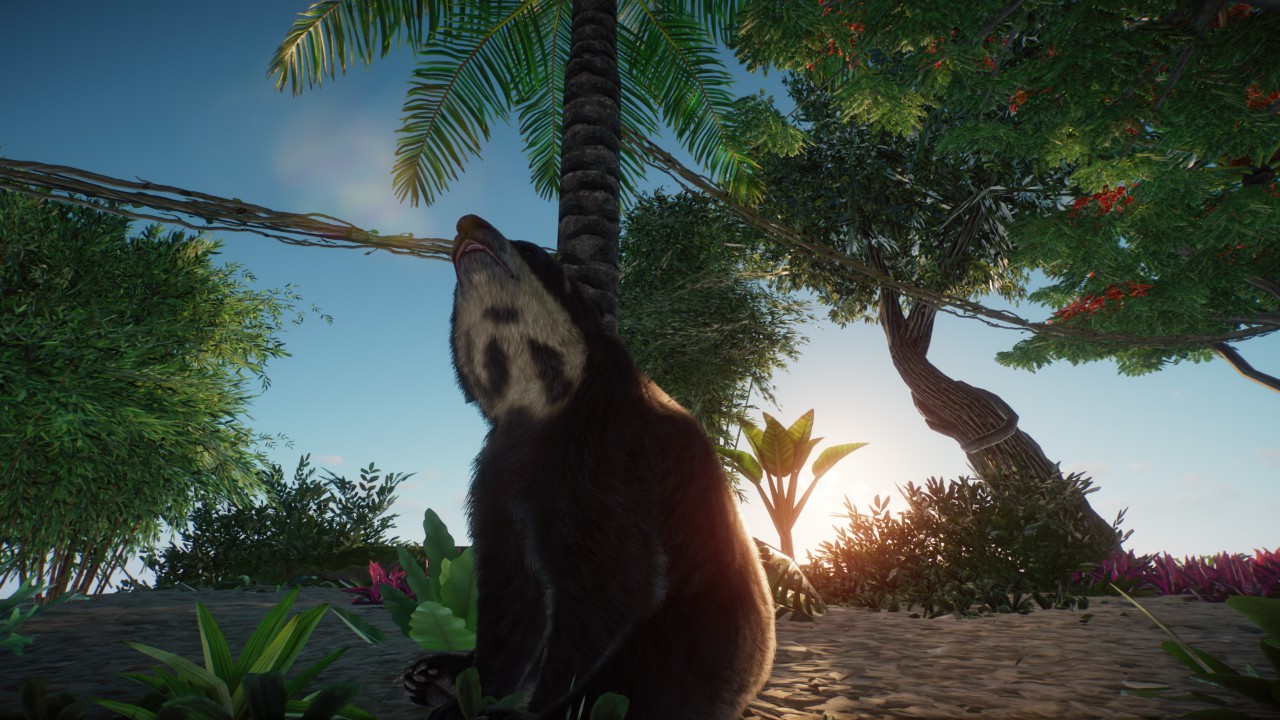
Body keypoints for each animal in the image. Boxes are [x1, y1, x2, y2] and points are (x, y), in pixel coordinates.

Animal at [404, 214, 775, 720]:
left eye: (530, 252)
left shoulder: (607, 455)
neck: (544, 404)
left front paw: (521, 707)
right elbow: (510, 587)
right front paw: (470, 684)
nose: (468, 224)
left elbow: (611, 582)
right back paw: (430, 674)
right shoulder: (499, 470)